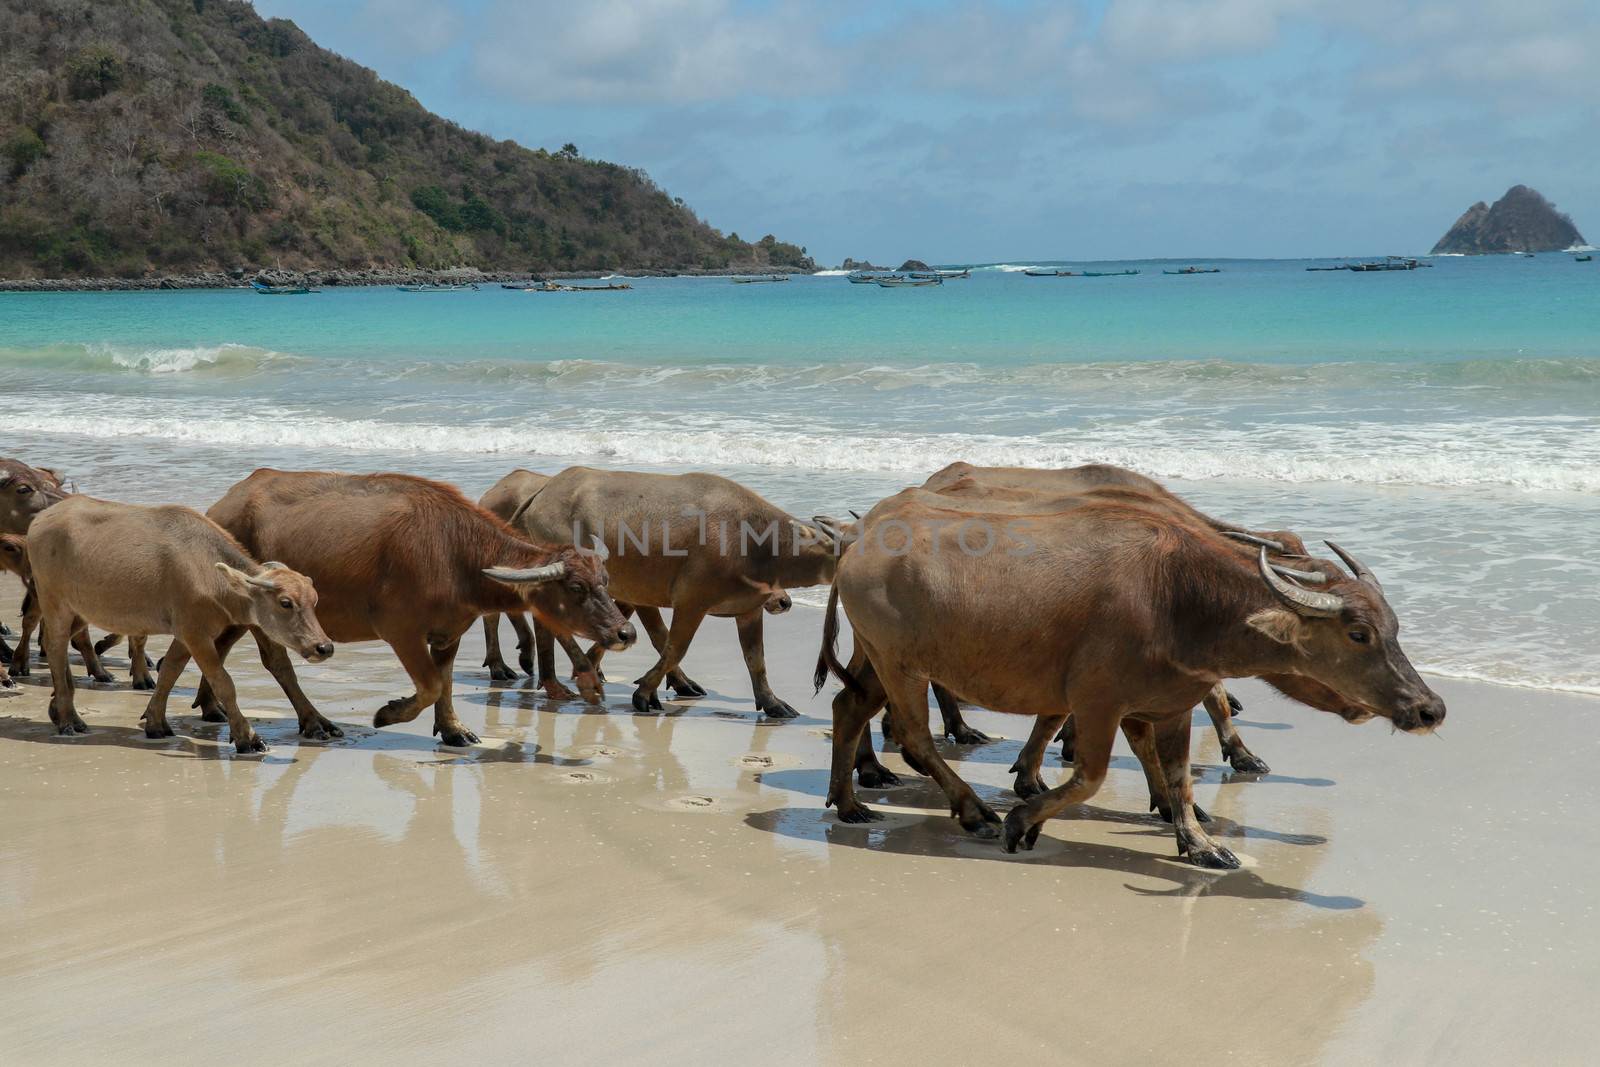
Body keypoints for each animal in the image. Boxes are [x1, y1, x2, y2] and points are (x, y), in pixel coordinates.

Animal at [24, 495, 331, 751]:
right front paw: (247, 737)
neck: (208, 571)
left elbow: (170, 671)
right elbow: (223, 682)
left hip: (79, 611)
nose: (324, 647)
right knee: (55, 648)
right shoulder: (196, 634)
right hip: (55, 605)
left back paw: (58, 709)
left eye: (315, 599)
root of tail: (39, 521)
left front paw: (156, 722)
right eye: (285, 602)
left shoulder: (184, 634)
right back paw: (69, 719)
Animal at [193, 470, 630, 748]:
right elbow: (431, 684)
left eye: (605, 581)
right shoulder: (400, 632)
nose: (625, 633)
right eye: (576, 587)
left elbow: (446, 680)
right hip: (269, 618)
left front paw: (453, 730)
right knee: (276, 663)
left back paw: (212, 707)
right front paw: (387, 714)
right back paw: (314, 722)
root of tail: (219, 509)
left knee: (219, 647)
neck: (455, 553)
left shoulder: (450, 633)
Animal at [515, 467, 844, 716]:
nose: (784, 602)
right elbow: (674, 647)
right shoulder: (691, 603)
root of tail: (546, 488)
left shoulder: (748, 610)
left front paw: (772, 704)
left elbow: (756, 660)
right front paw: (644, 694)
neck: (756, 541)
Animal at [819, 489, 1446, 870]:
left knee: (850, 709)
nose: (1430, 709)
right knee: (915, 737)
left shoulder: (1171, 705)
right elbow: (1090, 776)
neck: (1178, 598)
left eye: (1395, 627)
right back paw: (975, 811)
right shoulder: (1097, 704)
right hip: (899, 665)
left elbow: (1180, 778)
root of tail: (859, 540)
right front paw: (1022, 820)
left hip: (879, 661)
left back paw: (849, 804)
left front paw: (1201, 843)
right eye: (1359, 634)